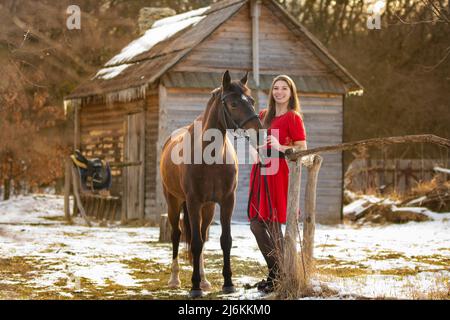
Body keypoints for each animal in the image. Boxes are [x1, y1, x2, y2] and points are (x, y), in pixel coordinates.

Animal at [160, 70, 262, 298]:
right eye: (233, 103)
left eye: (251, 101)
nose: (258, 132)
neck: (211, 156)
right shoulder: (193, 202)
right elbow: (195, 243)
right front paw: (194, 287)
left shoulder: (227, 202)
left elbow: (225, 241)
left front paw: (228, 283)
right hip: (174, 202)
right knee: (176, 234)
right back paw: (174, 279)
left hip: (207, 209)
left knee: (203, 235)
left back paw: (205, 280)